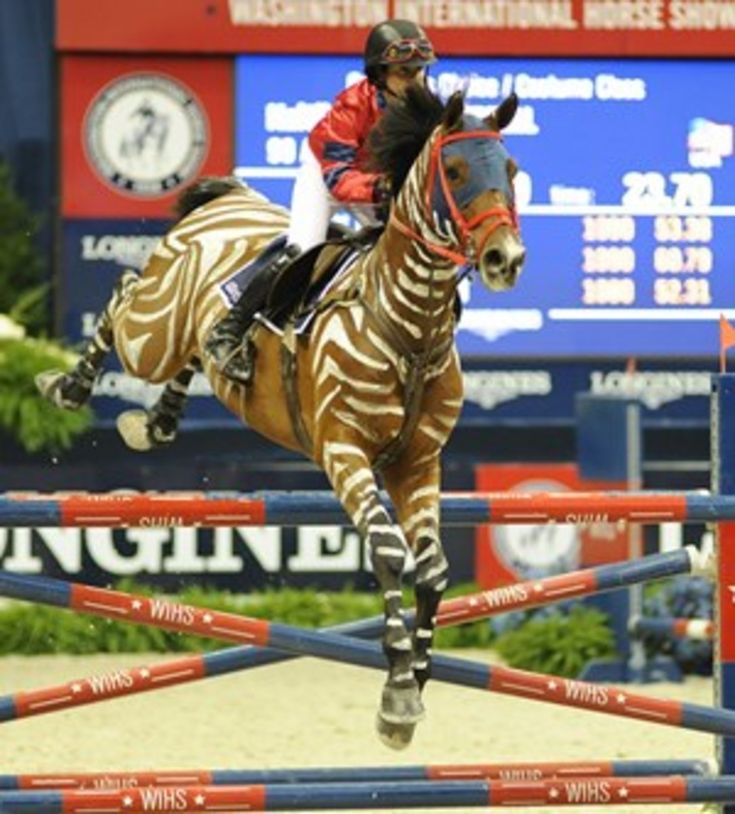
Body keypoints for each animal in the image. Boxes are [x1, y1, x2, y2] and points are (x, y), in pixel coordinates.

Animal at [37, 86, 528, 748]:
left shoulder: (418, 462)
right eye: (452, 171)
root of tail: (228, 198)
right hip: (153, 331)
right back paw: (66, 385)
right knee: (122, 295)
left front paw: (417, 684)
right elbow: (389, 553)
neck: (407, 327)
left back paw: (163, 414)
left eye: (510, 170)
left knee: (191, 351)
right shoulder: (344, 453)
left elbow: (431, 571)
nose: (506, 259)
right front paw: (399, 694)